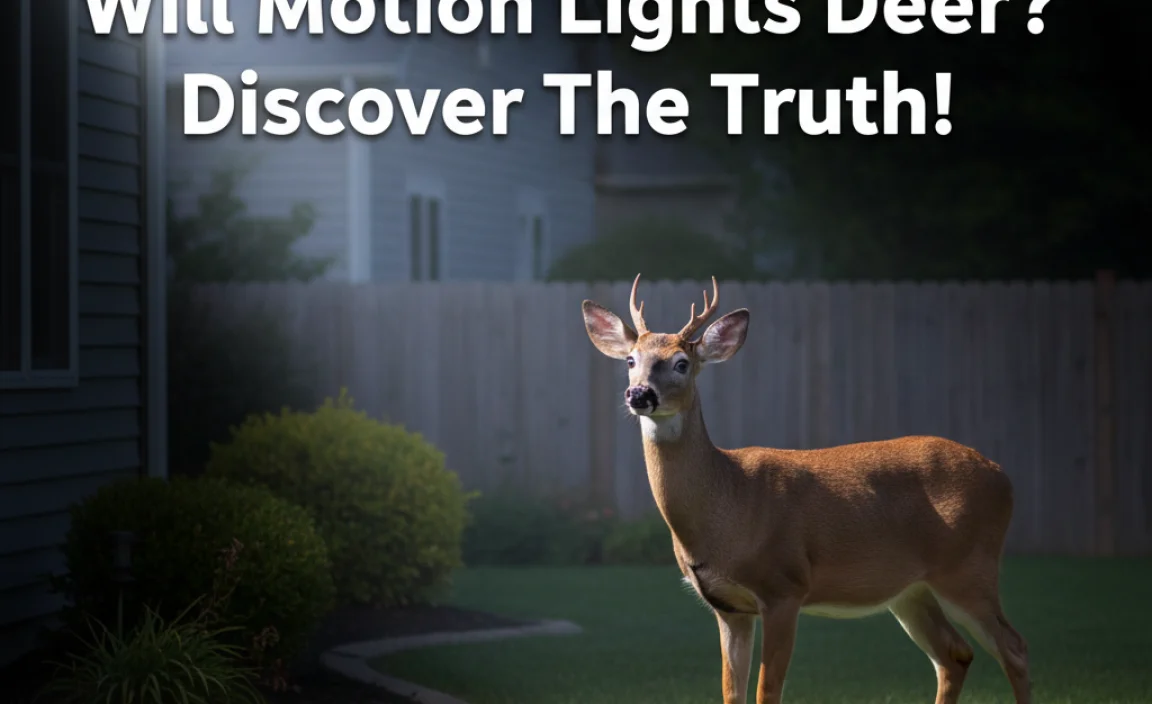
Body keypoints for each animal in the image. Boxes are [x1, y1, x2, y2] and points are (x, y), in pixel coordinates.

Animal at [580, 274, 1031, 704]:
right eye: (631, 360)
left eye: (681, 363)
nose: (639, 394)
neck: (728, 503)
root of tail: (1003, 476)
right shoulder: (728, 606)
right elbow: (731, 692)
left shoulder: (785, 586)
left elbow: (767, 691)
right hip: (911, 591)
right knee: (955, 655)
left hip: (969, 568)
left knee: (1015, 647)